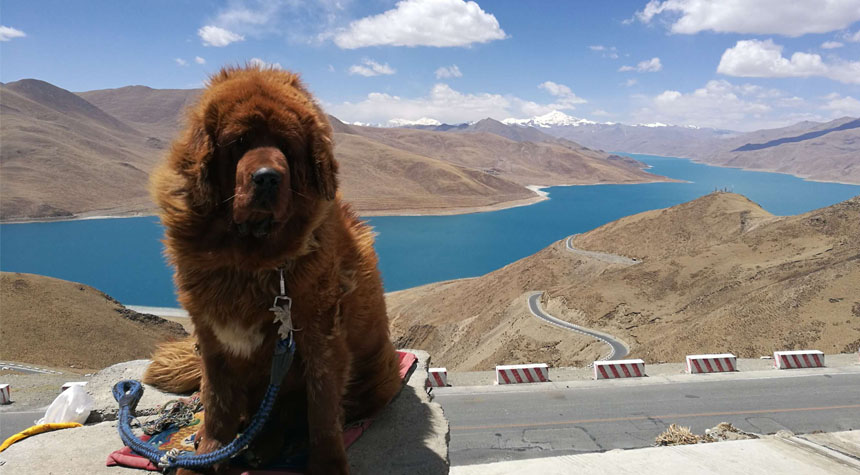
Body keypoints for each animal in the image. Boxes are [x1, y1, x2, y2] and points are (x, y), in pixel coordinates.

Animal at [144, 65, 404, 474]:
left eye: (287, 145)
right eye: (239, 142)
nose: (267, 176)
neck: (250, 259)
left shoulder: (319, 335)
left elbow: (322, 410)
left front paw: (327, 465)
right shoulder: (213, 338)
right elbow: (216, 406)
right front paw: (202, 457)